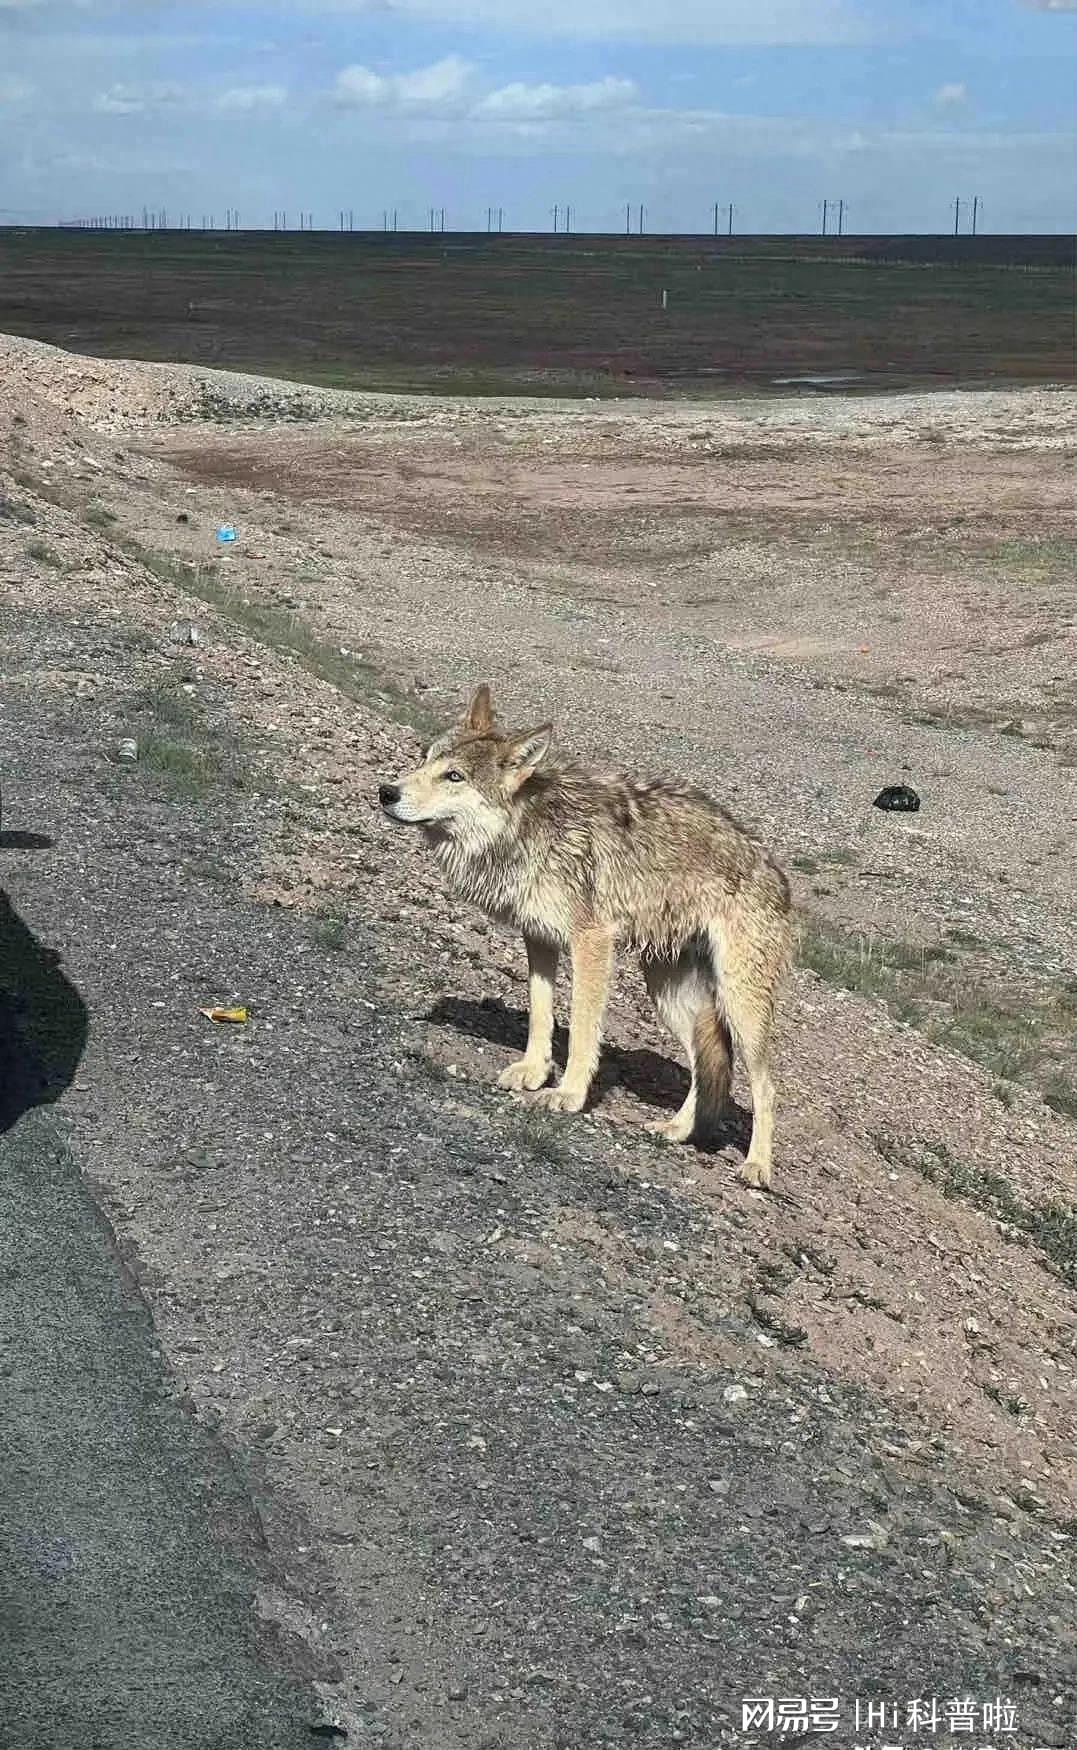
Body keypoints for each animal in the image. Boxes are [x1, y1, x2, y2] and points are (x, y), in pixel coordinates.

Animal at [380, 686, 791, 1190]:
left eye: (454, 775)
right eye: (425, 758)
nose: (386, 792)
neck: (527, 828)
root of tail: (779, 874)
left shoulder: (591, 942)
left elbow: (580, 1029)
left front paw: (569, 1094)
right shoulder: (538, 938)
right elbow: (540, 1014)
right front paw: (533, 1072)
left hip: (739, 1004)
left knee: (766, 1086)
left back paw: (757, 1166)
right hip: (669, 995)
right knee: (706, 1064)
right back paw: (676, 1130)